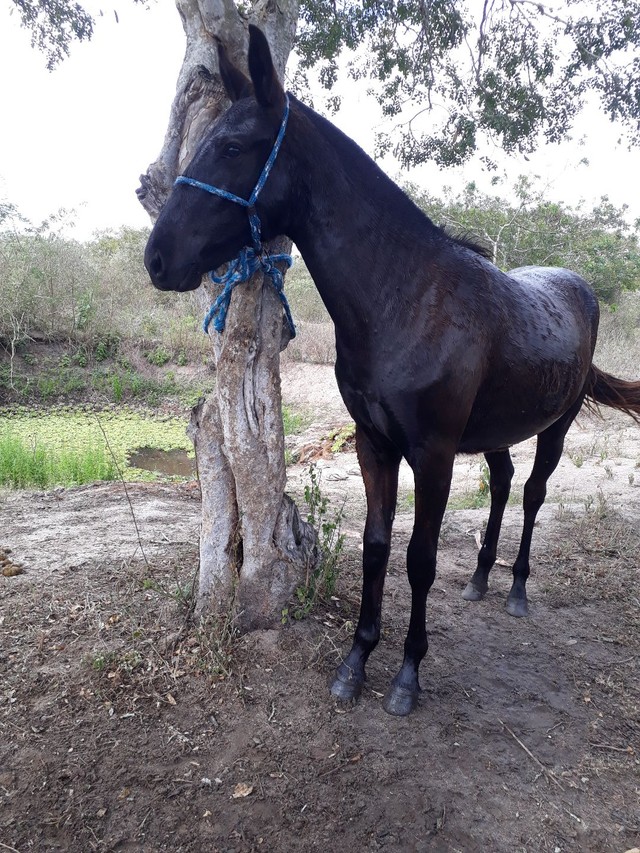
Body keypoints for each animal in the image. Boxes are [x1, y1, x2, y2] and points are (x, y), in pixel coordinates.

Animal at [145, 26, 640, 716]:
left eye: (234, 147)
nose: (158, 258)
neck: (405, 299)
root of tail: (578, 287)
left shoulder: (432, 455)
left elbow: (420, 558)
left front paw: (407, 675)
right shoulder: (373, 444)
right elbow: (376, 548)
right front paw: (355, 663)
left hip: (556, 428)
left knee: (534, 493)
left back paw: (516, 589)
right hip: (492, 436)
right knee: (504, 484)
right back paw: (480, 580)